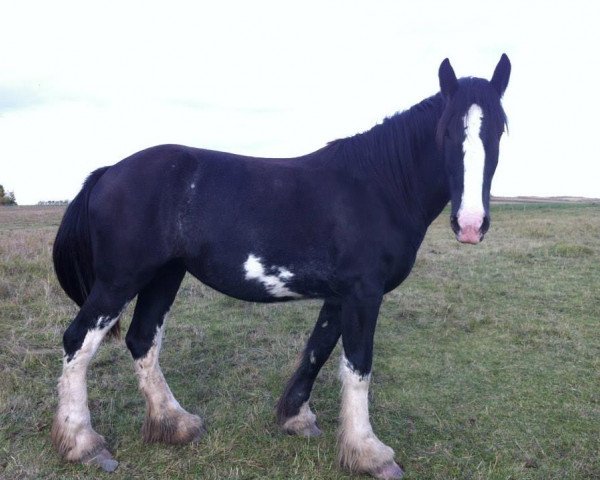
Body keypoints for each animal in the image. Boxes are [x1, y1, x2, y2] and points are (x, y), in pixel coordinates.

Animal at [50, 54, 510, 478]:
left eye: (500, 129)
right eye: (446, 130)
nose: (471, 225)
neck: (379, 186)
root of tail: (109, 172)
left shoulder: (341, 295)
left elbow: (318, 349)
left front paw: (295, 417)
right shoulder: (364, 292)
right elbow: (358, 365)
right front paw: (369, 454)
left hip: (164, 276)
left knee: (143, 340)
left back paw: (175, 424)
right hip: (119, 280)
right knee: (78, 341)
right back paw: (83, 443)